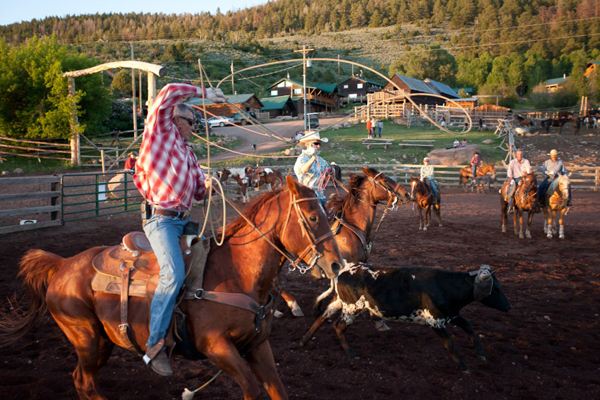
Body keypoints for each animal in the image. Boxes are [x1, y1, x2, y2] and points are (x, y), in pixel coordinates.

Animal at [0, 177, 342, 400]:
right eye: (313, 217)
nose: (337, 265)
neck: (237, 274)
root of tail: (63, 265)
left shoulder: (258, 346)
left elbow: (276, 389)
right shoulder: (215, 346)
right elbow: (252, 389)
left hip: (102, 341)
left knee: (81, 379)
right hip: (84, 337)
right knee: (84, 382)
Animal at [302, 264, 508, 374]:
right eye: (495, 289)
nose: (508, 306)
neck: (445, 286)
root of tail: (343, 272)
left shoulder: (451, 315)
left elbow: (469, 326)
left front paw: (480, 353)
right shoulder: (435, 322)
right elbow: (450, 344)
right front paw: (463, 366)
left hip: (339, 302)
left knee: (323, 317)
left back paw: (304, 341)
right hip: (352, 308)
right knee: (338, 326)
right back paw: (351, 353)